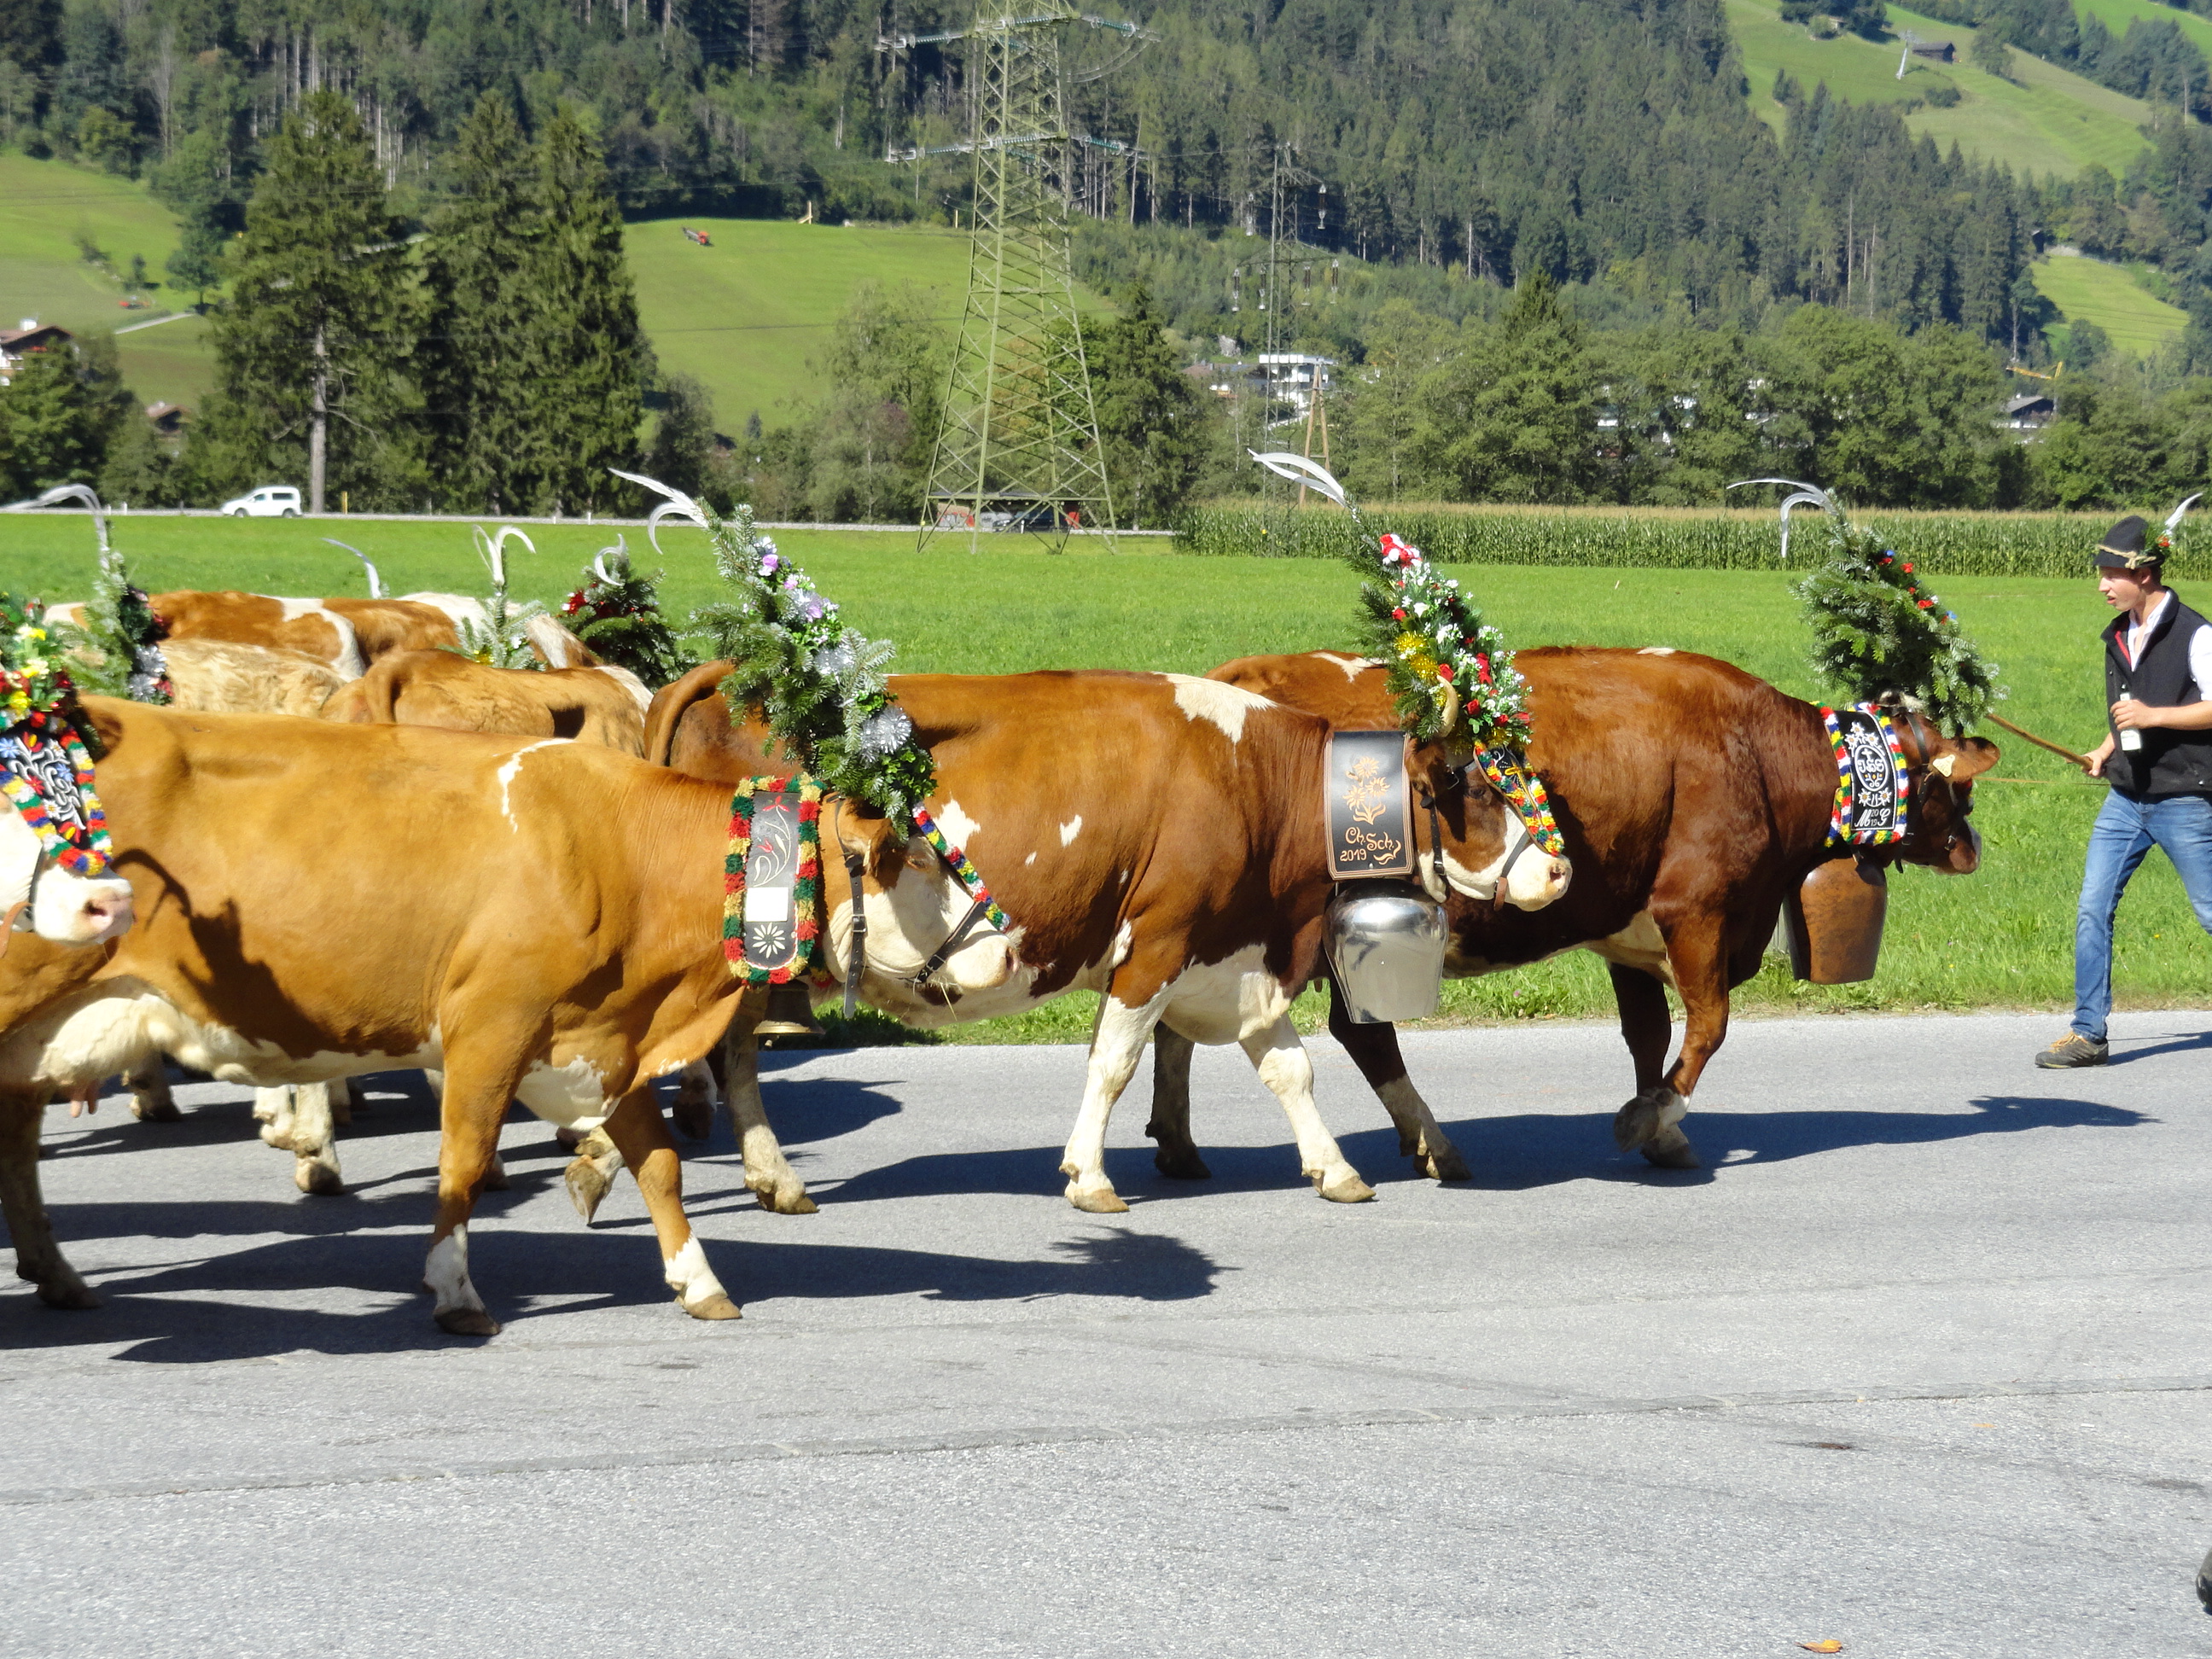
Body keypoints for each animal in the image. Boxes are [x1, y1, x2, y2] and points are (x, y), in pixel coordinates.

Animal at [0, 703, 1004, 1336]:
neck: (617, 852)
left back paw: (55, 1273)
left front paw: (700, 1281)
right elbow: (462, 1164)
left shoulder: (603, 1040)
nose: (1002, 947)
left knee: (19, 1138)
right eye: (916, 859)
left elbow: (662, 1167)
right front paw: (452, 1290)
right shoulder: (490, 1024)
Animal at [641, 663, 1575, 1220]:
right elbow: (1116, 1064)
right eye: (1472, 786)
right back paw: (775, 1172)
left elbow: (1289, 1068)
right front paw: (1089, 1176)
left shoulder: (1238, 954)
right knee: (734, 1057)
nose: (1558, 871)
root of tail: (728, 677)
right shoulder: (1157, 946)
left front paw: (1333, 1167)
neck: (1254, 780)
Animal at [1150, 650, 2000, 1185]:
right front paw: (1652, 1118)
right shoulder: (1699, 909)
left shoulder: (1629, 931)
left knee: (1177, 1025)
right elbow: (1709, 1026)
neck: (1755, 751)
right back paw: (1432, 1142)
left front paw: (1663, 1126)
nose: (1973, 846)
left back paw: (1180, 1144)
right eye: (1948, 785)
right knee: (1357, 1034)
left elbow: (1649, 1034)